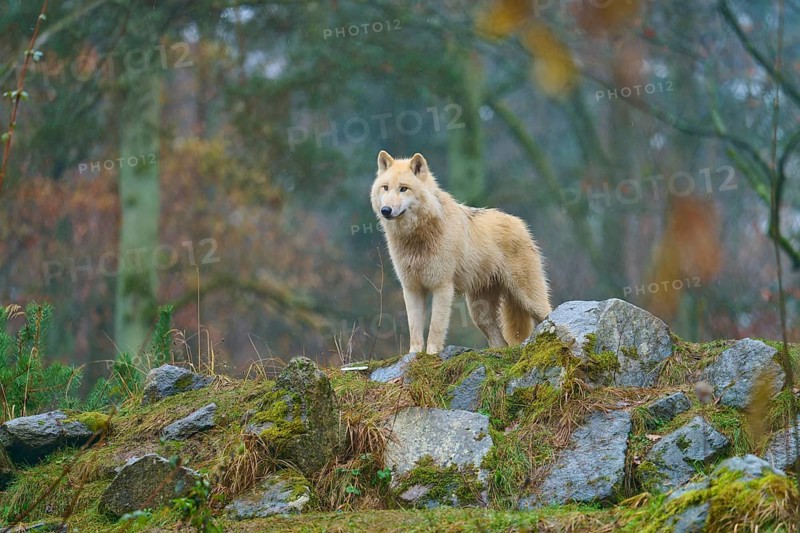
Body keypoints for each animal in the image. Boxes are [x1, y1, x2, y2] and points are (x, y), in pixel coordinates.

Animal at [371, 150, 552, 354]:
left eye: (403, 189)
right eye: (385, 188)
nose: (386, 210)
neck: (417, 236)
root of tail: (521, 224)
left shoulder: (442, 287)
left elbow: (435, 327)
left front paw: (432, 354)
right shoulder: (411, 288)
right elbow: (415, 327)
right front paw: (414, 354)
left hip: (528, 298)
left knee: (547, 312)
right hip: (479, 312)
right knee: (501, 342)